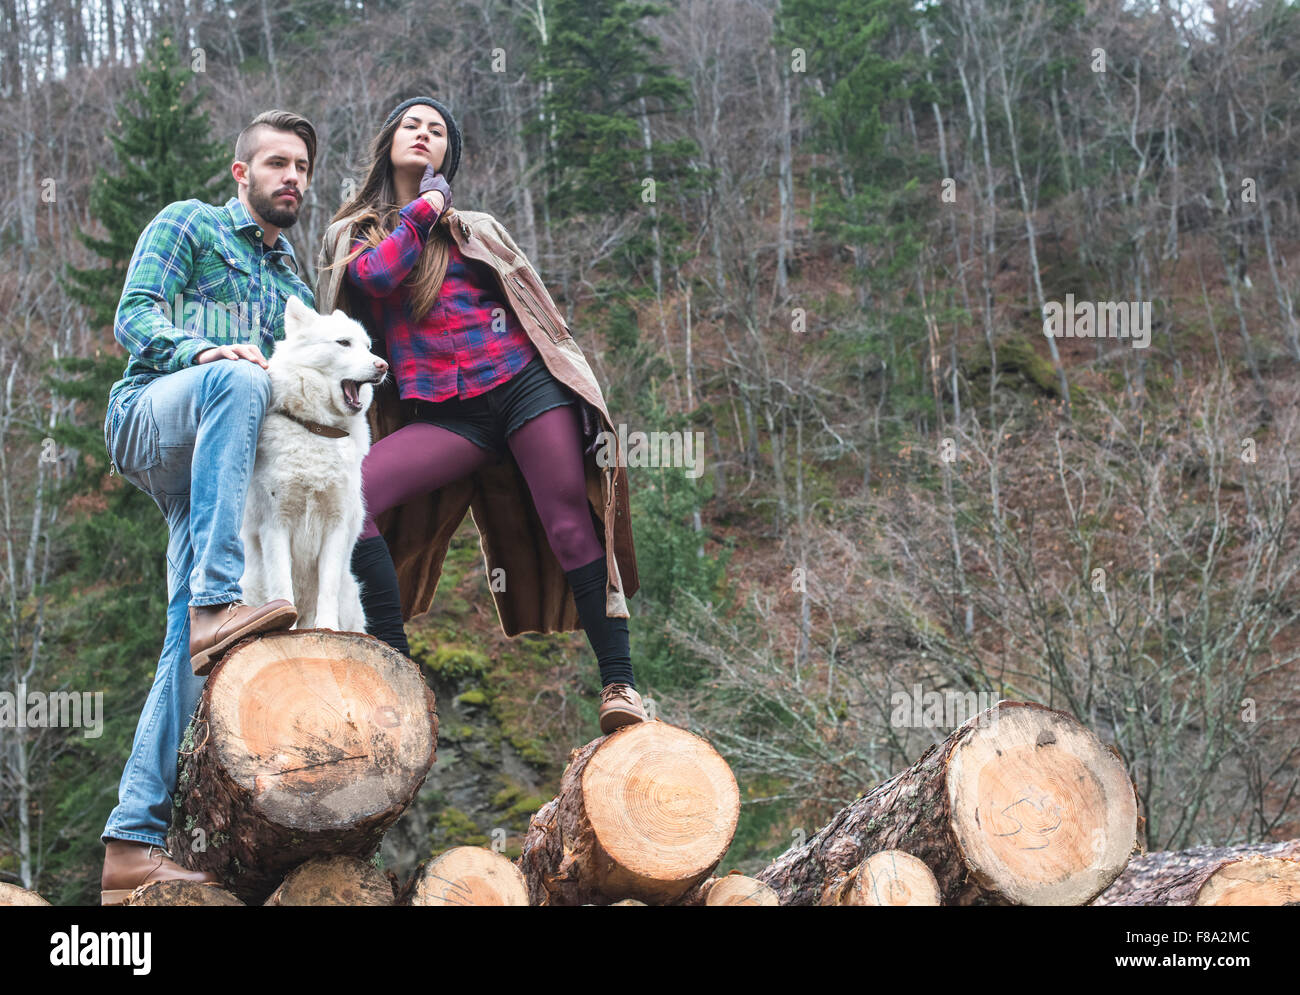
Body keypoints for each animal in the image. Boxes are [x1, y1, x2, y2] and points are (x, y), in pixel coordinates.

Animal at [239, 295, 387, 632]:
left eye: (367, 346)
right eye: (343, 343)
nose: (383, 366)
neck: (317, 430)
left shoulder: (336, 526)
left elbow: (327, 589)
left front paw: (327, 628)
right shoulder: (275, 525)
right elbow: (283, 587)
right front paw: (287, 628)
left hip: (351, 594)